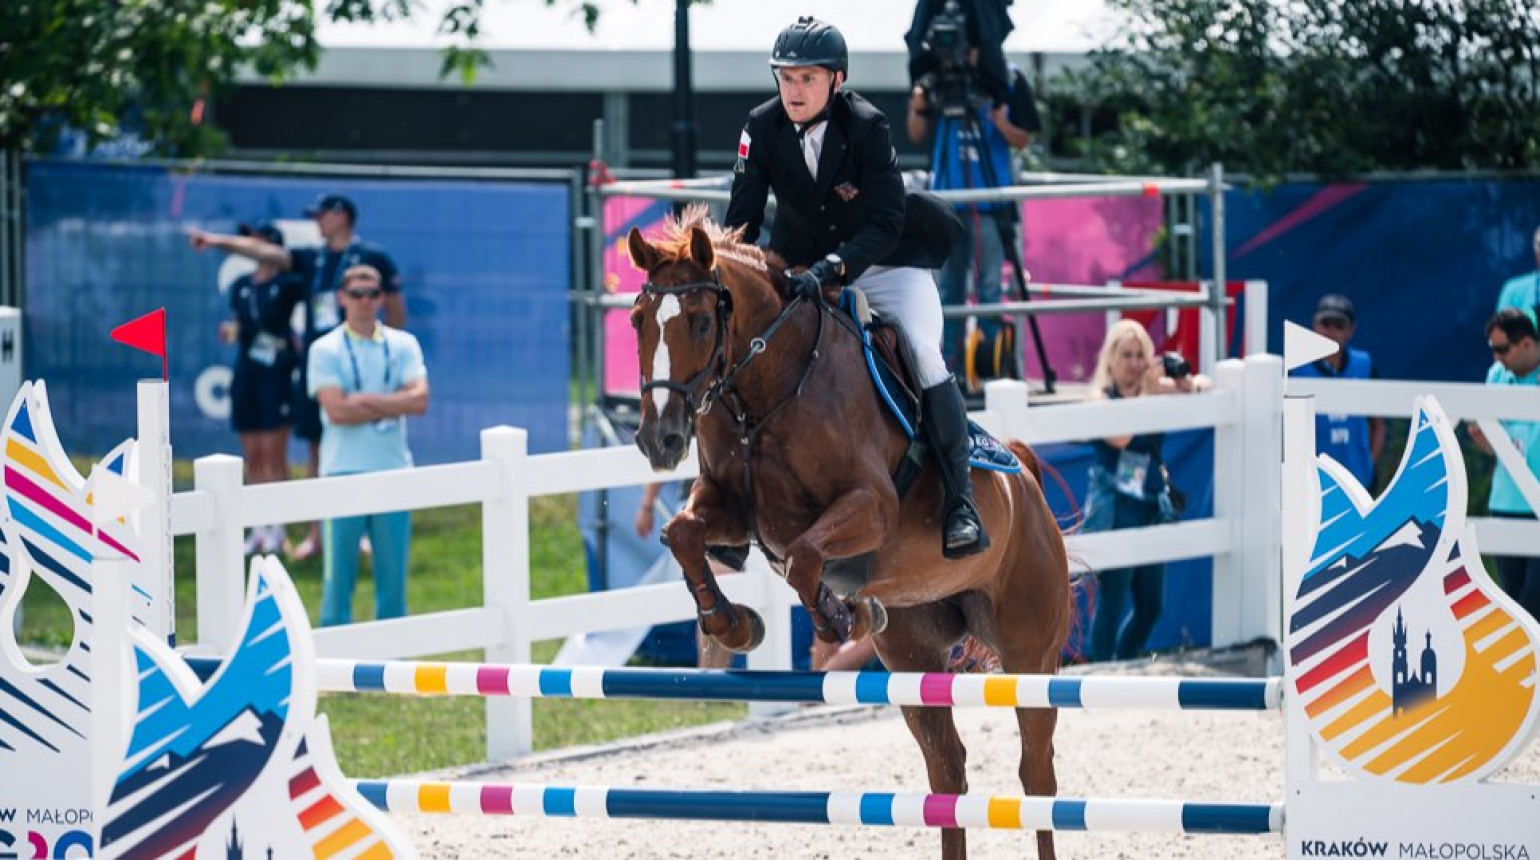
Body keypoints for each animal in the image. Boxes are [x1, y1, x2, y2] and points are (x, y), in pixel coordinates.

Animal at [628, 209, 1071, 860]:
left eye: (702, 321)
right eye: (638, 321)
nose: (658, 440)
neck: (768, 386)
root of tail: (1028, 483)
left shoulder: (872, 507)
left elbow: (805, 557)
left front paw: (840, 618)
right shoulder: (732, 507)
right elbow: (684, 534)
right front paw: (733, 623)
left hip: (1029, 652)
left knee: (1036, 775)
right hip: (915, 657)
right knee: (948, 769)